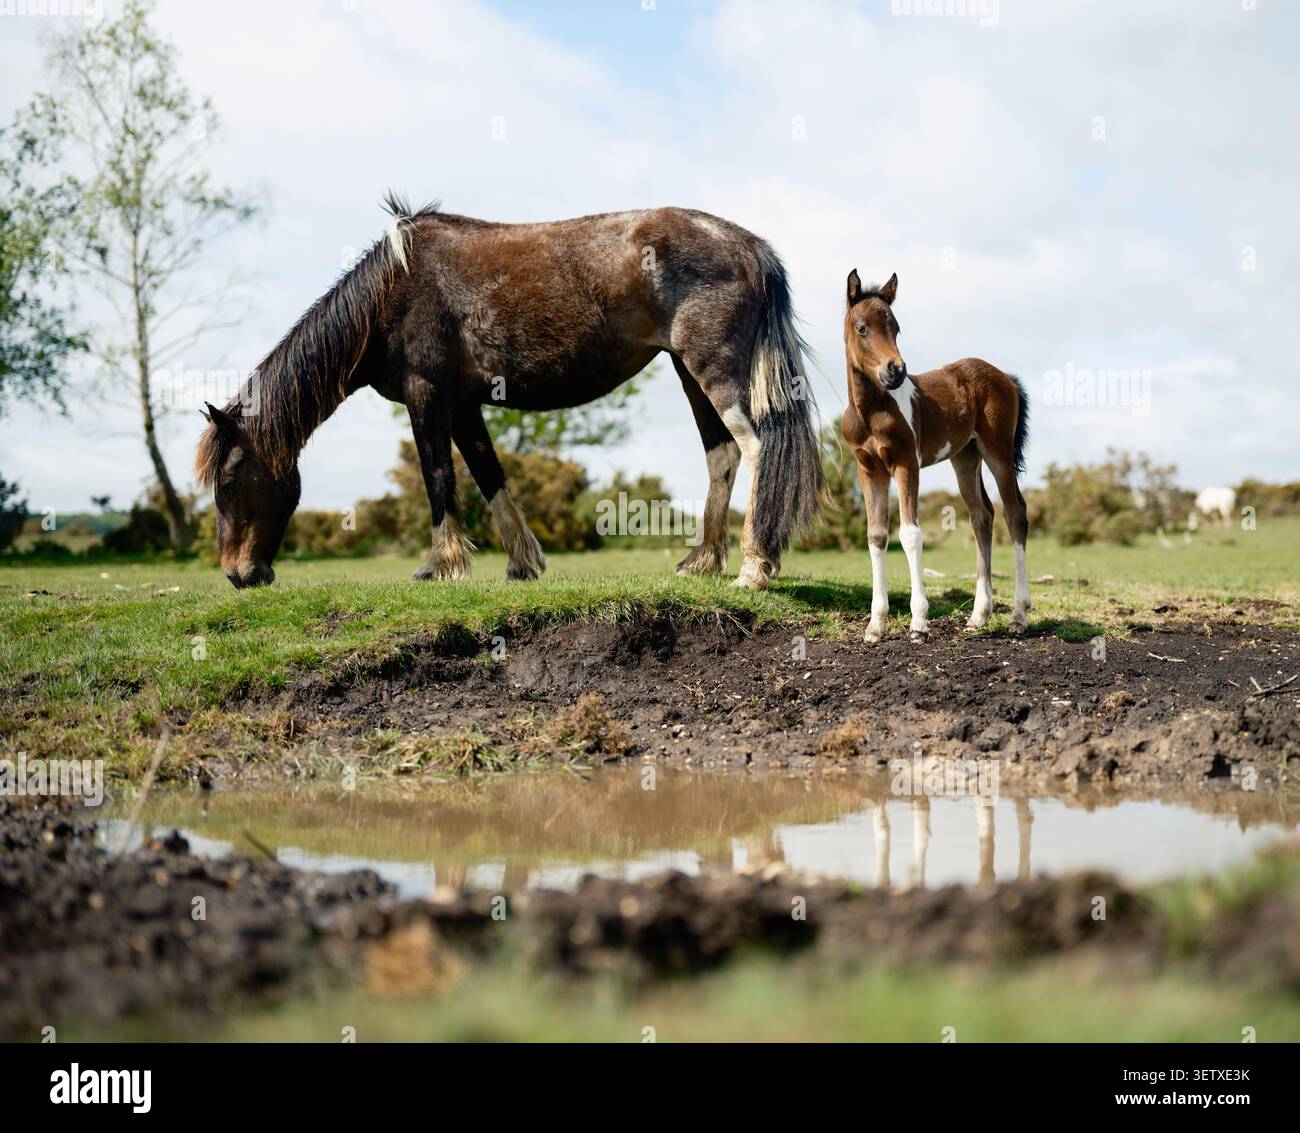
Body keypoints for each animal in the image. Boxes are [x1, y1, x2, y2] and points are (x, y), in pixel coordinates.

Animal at [196, 195, 825, 590]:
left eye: (227, 482)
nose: (238, 574)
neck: (390, 293)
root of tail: (751, 246)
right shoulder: (464, 404)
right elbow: (488, 473)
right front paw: (521, 563)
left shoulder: (428, 397)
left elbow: (438, 477)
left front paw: (440, 566)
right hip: (689, 373)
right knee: (721, 454)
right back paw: (703, 561)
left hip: (712, 371)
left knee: (757, 448)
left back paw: (753, 568)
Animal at [840, 270, 1031, 642]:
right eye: (862, 327)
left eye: (896, 328)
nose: (896, 371)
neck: (871, 410)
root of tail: (1006, 377)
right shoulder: (869, 469)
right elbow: (876, 536)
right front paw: (875, 626)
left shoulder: (905, 463)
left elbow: (910, 534)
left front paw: (918, 623)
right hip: (966, 457)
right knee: (982, 516)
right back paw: (979, 615)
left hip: (998, 451)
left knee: (1015, 512)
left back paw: (1018, 615)